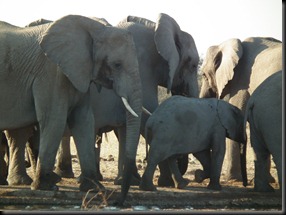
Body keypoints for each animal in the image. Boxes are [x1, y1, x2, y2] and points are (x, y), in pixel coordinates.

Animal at [0, 13, 143, 207]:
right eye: (117, 64)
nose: (118, 202)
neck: (94, 28)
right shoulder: (52, 73)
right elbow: (55, 120)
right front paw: (46, 186)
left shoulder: (78, 73)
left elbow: (84, 121)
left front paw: (94, 187)